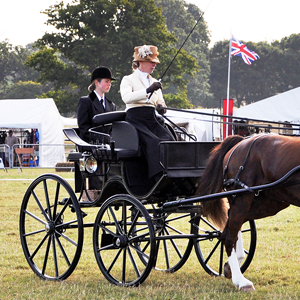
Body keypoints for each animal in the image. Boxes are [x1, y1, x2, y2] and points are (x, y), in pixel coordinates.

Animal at [197, 134, 300, 290]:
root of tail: (241, 143)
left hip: (267, 202)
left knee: (231, 224)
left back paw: (231, 266)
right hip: (242, 198)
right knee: (229, 234)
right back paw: (241, 281)